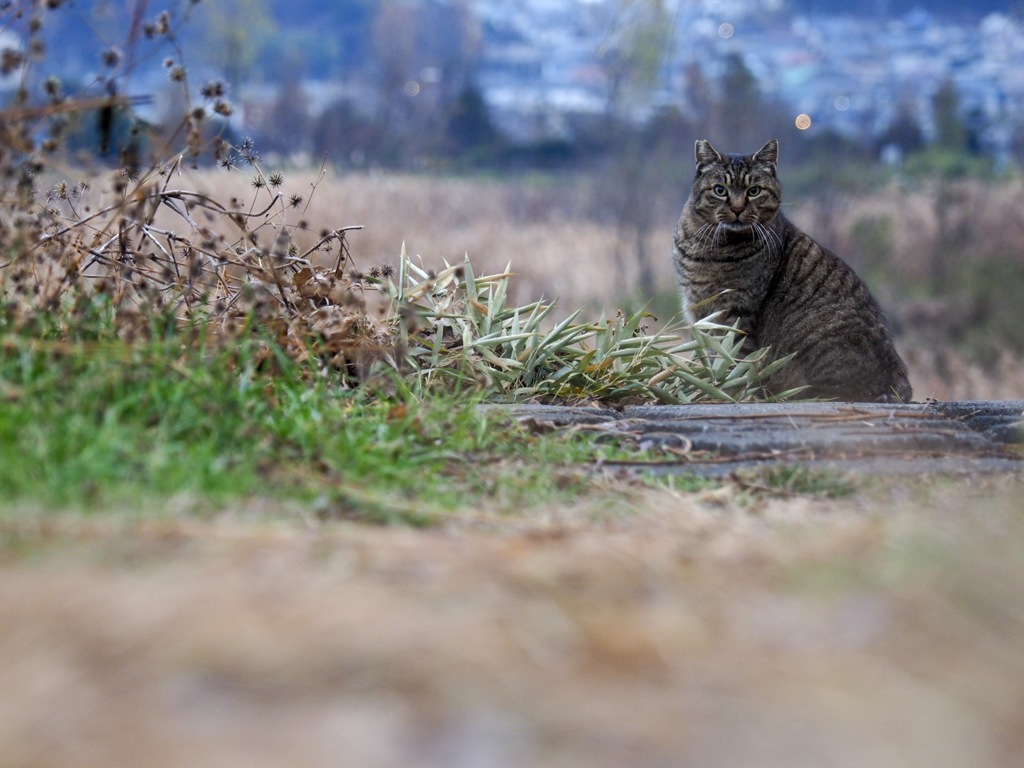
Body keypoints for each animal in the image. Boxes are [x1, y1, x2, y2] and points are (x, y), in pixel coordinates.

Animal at [671, 138, 913, 403]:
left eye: (754, 191)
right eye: (719, 190)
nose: (737, 208)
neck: (709, 248)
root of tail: (900, 379)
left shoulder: (737, 313)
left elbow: (734, 361)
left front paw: (725, 393)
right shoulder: (700, 313)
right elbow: (713, 359)